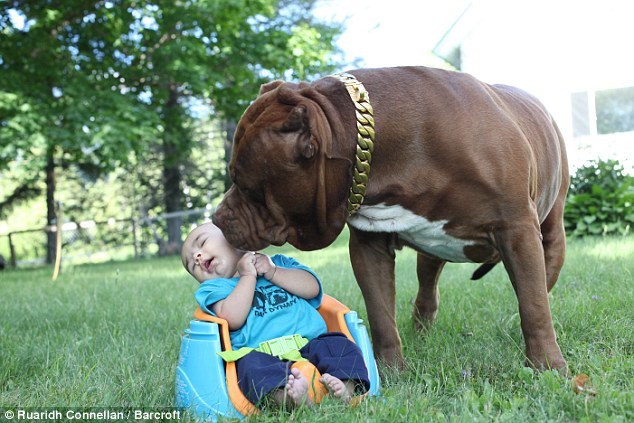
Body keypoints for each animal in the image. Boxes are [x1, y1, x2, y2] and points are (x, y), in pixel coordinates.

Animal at [214, 65, 568, 372]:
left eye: (246, 185)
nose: (217, 218)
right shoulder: (369, 247)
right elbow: (381, 312)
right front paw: (391, 370)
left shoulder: (517, 231)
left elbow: (534, 306)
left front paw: (548, 367)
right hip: (433, 250)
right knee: (428, 288)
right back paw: (421, 333)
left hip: (551, 232)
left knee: (542, 284)